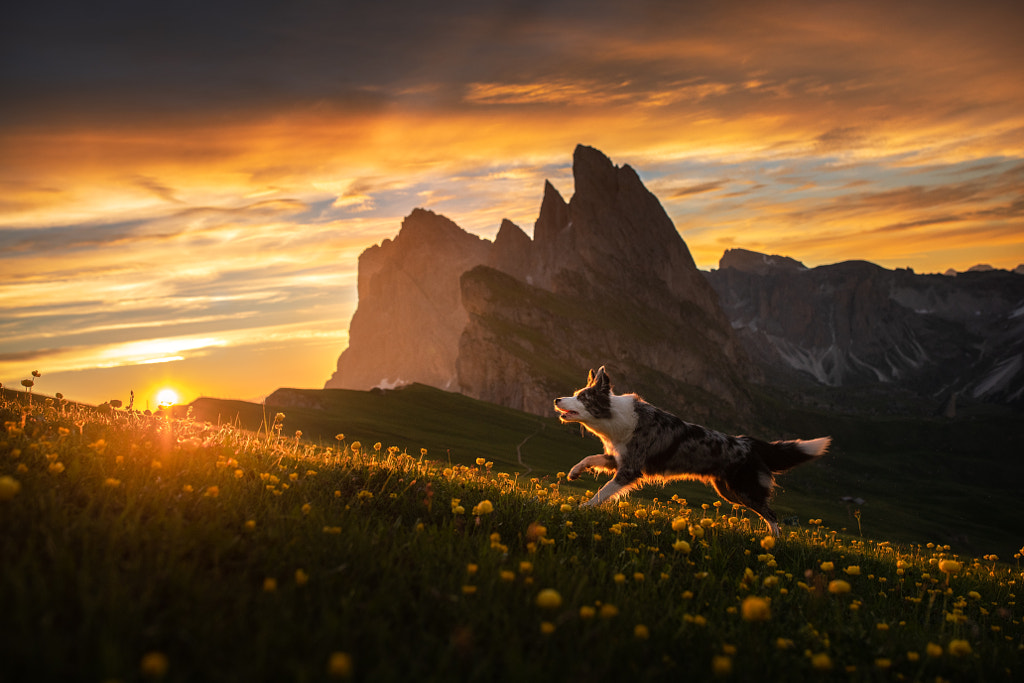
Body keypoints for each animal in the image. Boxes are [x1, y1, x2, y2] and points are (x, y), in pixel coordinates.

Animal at [557, 366, 827, 536]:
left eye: (582, 397)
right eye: (575, 394)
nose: (557, 400)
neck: (614, 417)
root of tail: (748, 443)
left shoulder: (630, 469)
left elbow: (603, 492)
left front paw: (583, 508)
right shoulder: (618, 458)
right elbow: (590, 458)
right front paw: (574, 472)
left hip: (745, 490)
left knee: (772, 514)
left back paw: (774, 542)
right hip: (728, 491)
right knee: (766, 512)